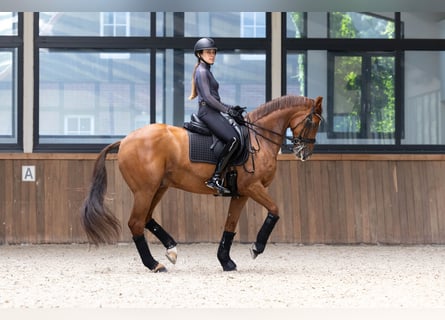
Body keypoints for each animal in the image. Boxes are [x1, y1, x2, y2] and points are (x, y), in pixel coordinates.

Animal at [80, 95, 322, 272]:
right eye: (312, 121)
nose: (305, 152)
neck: (258, 139)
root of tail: (125, 140)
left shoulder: (241, 193)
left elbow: (230, 226)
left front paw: (226, 261)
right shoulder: (252, 187)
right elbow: (275, 210)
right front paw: (256, 248)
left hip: (158, 188)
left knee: (146, 219)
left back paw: (171, 249)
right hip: (144, 191)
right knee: (136, 223)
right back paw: (154, 264)